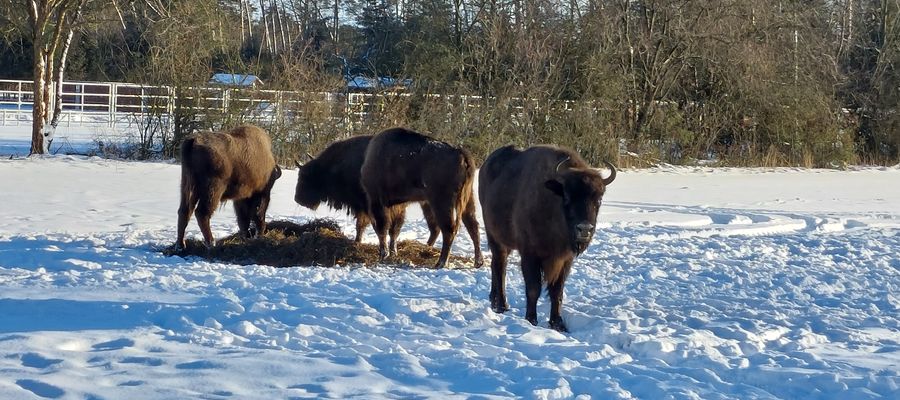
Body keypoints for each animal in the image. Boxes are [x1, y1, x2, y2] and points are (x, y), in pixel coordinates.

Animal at [292, 134, 440, 247]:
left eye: (304, 177)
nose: (297, 199)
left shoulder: (365, 206)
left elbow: (362, 225)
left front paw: (357, 241)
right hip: (427, 205)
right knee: (435, 228)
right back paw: (427, 246)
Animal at [360, 126, 486, 268]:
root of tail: (461, 154)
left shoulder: (378, 201)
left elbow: (383, 228)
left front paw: (383, 255)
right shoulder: (397, 206)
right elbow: (394, 230)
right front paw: (392, 253)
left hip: (442, 203)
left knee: (449, 230)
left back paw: (441, 263)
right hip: (468, 199)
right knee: (472, 226)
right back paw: (478, 262)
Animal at [478, 144, 620, 332]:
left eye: (599, 198)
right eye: (567, 196)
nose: (584, 229)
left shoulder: (565, 259)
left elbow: (557, 291)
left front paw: (558, 323)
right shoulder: (530, 255)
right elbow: (533, 289)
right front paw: (531, 320)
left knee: (498, 267)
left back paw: (495, 302)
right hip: (495, 238)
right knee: (499, 267)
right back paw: (501, 305)